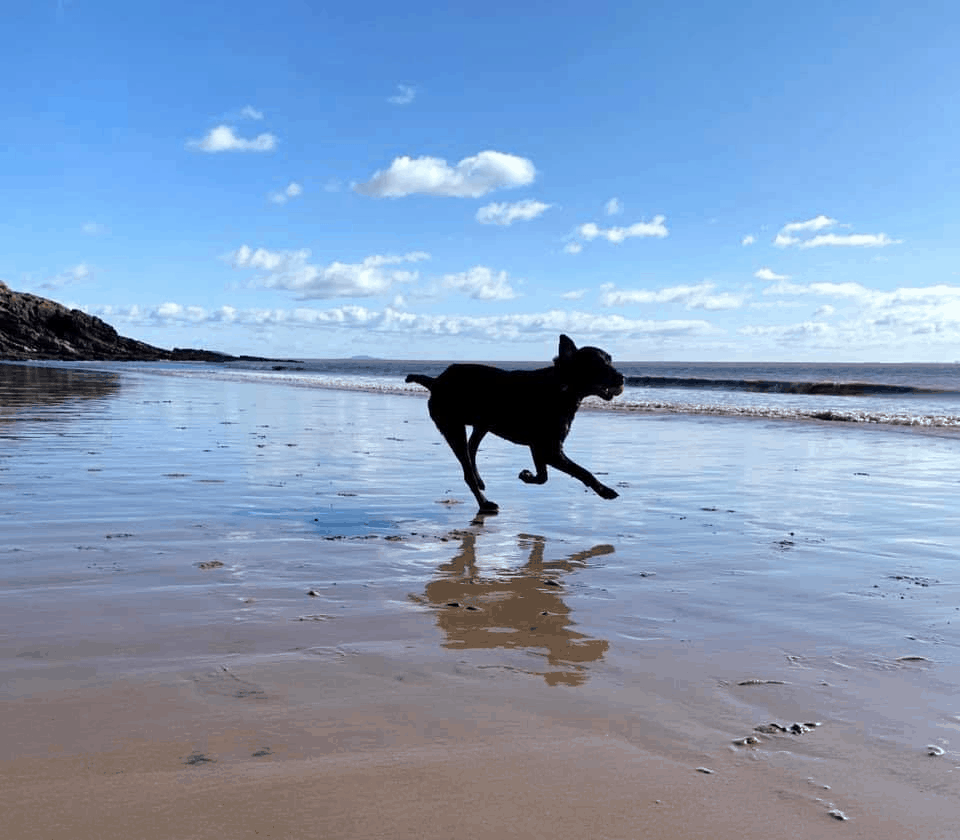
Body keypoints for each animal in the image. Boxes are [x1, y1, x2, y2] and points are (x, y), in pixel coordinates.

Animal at [404, 334, 624, 512]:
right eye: (597, 364)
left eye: (610, 360)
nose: (622, 377)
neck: (562, 387)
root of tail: (435, 382)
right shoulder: (550, 449)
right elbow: (583, 472)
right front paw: (606, 491)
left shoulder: (539, 447)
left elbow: (543, 477)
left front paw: (526, 475)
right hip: (453, 427)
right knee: (466, 466)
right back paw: (485, 503)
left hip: (481, 425)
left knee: (471, 449)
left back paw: (480, 481)